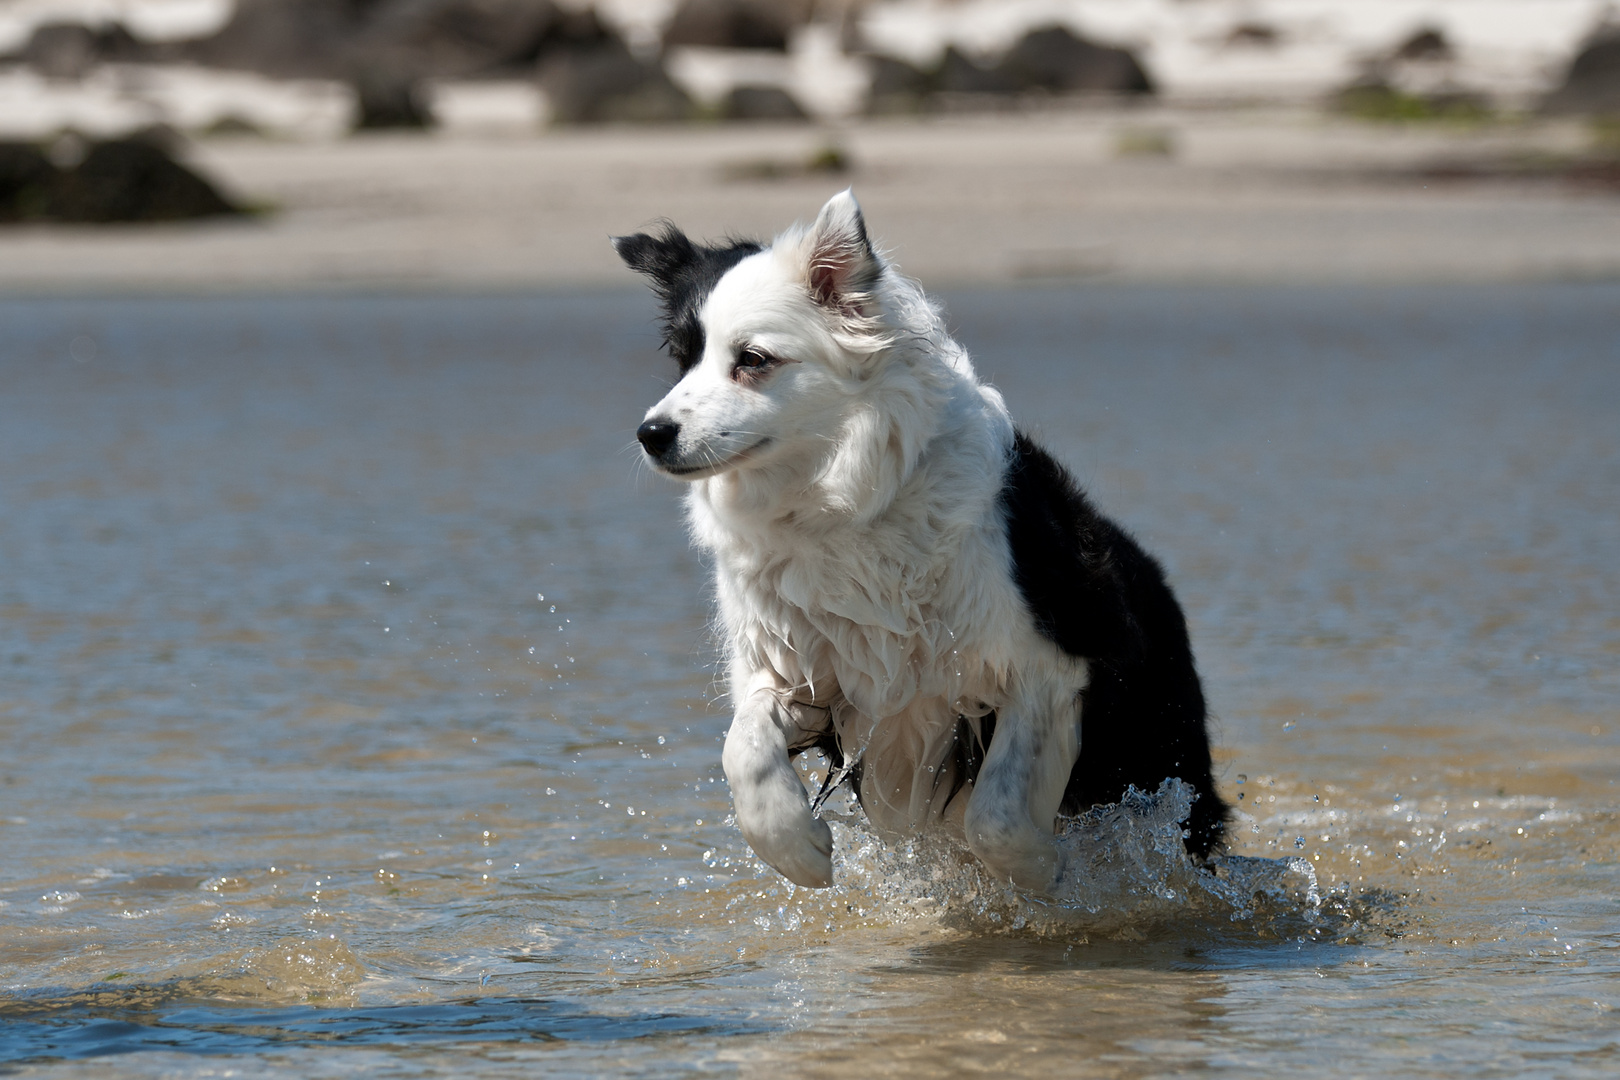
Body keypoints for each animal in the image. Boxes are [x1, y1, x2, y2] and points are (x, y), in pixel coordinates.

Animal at [618, 191, 1224, 893]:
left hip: (1162, 753)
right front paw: (797, 849)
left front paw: (1043, 871)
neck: (840, 504)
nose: (652, 434)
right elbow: (741, 748)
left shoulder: (1051, 660)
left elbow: (994, 816)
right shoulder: (797, 666)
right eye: (682, 356)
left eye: (753, 360)